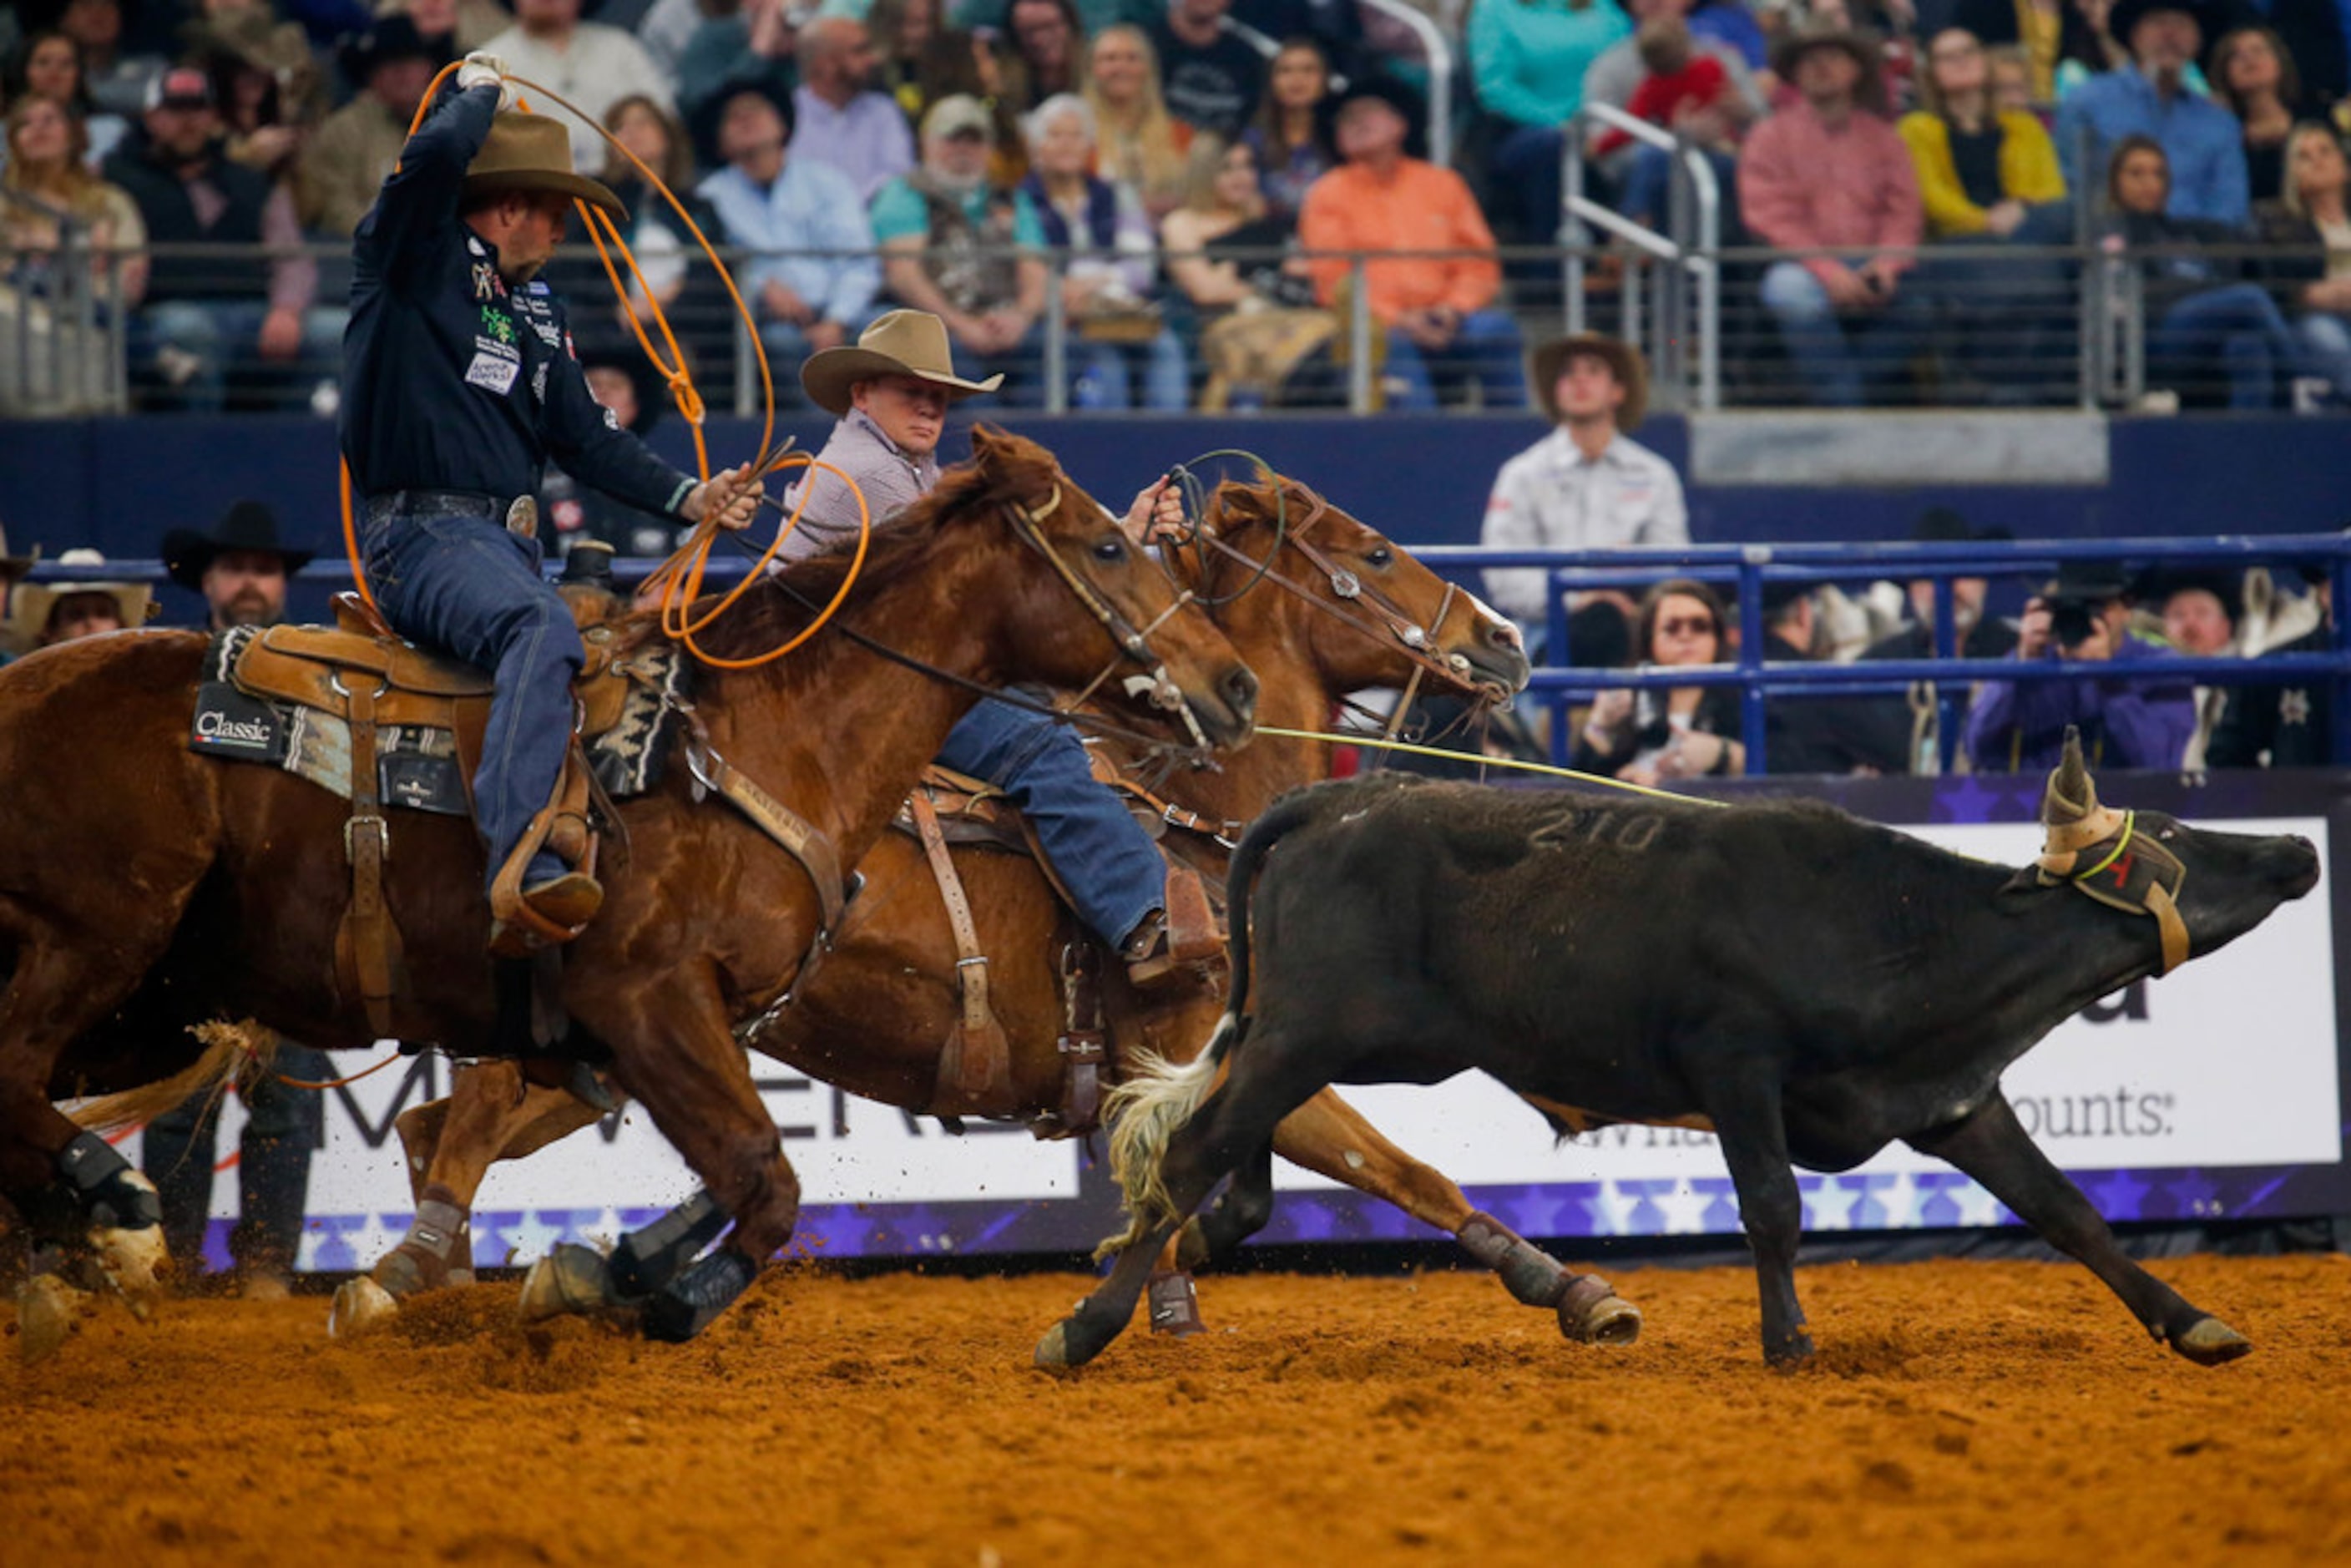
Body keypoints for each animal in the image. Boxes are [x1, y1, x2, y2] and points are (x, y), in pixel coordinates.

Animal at [4, 430, 1251, 1353]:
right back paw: (119, 1216)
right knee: (26, 1077)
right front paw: (646, 1291)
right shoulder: (649, 1000)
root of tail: (26, 681)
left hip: (153, 1000)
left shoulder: (679, 1025)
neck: (769, 735)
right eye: (1104, 547)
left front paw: (604, 1269)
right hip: (94, 942)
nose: (1231, 684)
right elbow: (767, 1178)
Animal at [352, 479, 1636, 1353]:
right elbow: (1405, 1171)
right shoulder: (1210, 1051)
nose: (1504, 639)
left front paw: (1158, 1274)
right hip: (638, 1019)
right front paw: (1577, 1292)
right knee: (458, 1129)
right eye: (1372, 552)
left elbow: (1243, 1187)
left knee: (438, 1122)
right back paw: (401, 1284)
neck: (1193, 808)